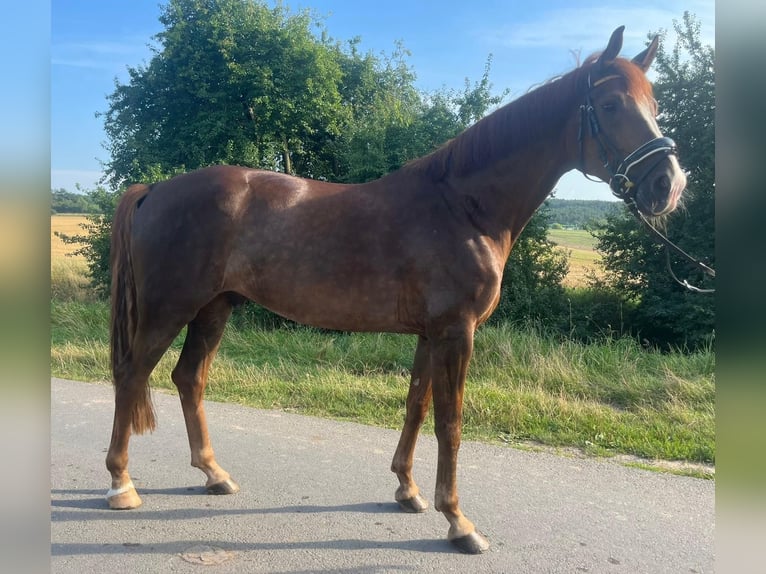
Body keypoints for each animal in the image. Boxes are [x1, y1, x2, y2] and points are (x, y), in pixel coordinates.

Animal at [105, 28, 688, 560]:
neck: (464, 208)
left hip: (214, 308)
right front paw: (459, 523)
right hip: (168, 308)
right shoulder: (456, 332)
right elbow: (450, 423)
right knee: (132, 374)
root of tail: (155, 189)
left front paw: (408, 492)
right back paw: (121, 484)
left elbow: (416, 405)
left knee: (188, 378)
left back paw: (214, 473)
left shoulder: (431, 334)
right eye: (610, 104)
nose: (669, 184)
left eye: (655, 104)